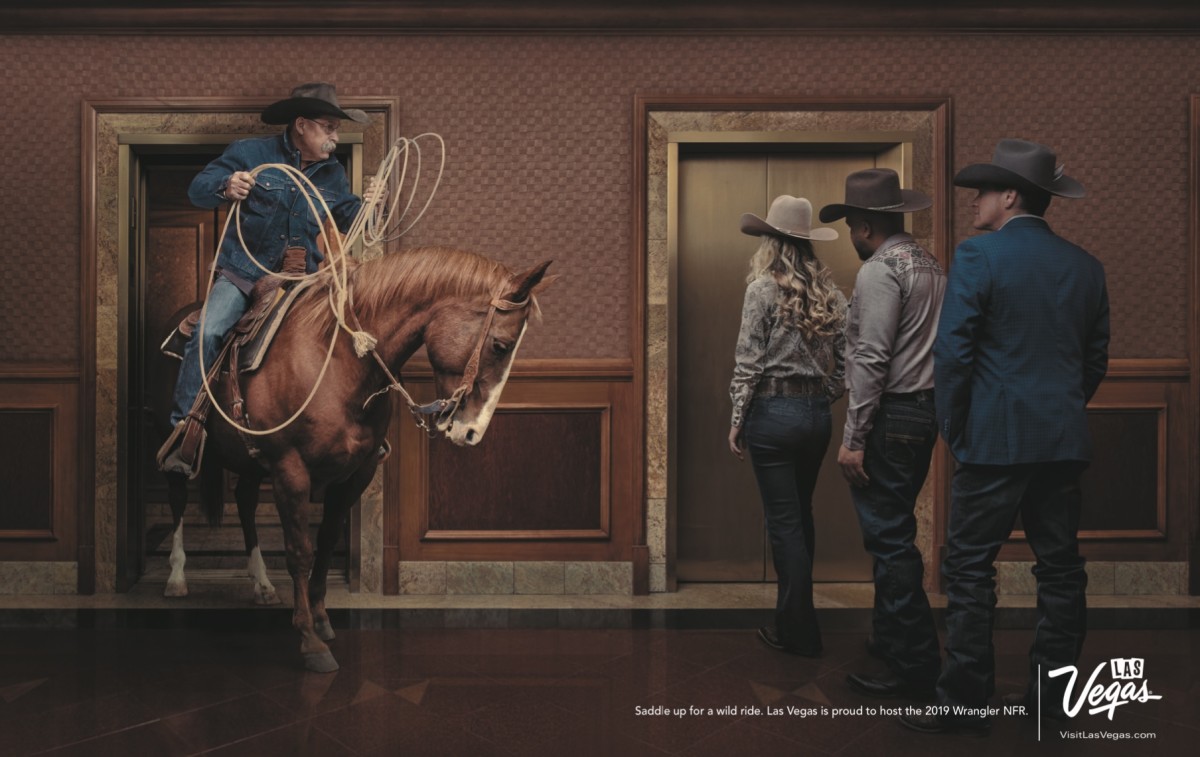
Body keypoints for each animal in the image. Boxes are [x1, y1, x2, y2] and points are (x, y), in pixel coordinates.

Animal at [162, 245, 554, 671]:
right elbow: (300, 550)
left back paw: (262, 584)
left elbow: (326, 540)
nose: (472, 432)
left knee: (246, 502)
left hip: (251, 460)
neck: (337, 361)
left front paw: (321, 619)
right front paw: (309, 639)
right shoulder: (290, 469)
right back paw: (177, 576)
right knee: (177, 493)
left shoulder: (355, 474)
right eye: (500, 345)